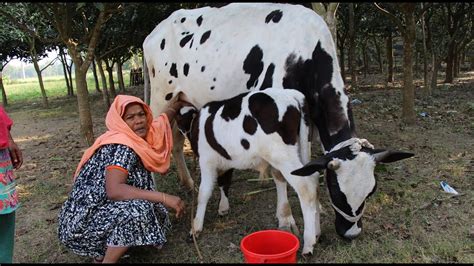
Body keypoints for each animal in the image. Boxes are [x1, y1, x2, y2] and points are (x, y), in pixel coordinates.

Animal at [143, 2, 412, 256]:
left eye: (371, 191)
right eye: (336, 190)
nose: (351, 234)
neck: (305, 51)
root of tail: (156, 31)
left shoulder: (305, 121)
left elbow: (308, 166)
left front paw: (315, 211)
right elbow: (280, 175)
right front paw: (286, 216)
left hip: (181, 100)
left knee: (177, 142)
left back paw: (188, 182)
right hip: (161, 97)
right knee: (150, 141)